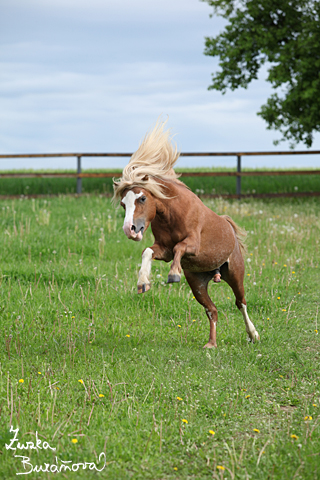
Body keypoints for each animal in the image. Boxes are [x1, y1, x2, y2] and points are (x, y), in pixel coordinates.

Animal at [113, 119, 260, 344]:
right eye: (123, 203)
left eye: (142, 198)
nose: (130, 230)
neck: (173, 214)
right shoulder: (163, 249)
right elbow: (148, 251)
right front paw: (143, 283)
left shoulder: (193, 244)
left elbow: (180, 247)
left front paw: (173, 274)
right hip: (198, 284)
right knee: (212, 311)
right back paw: (211, 344)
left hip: (235, 273)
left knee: (240, 302)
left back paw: (253, 334)